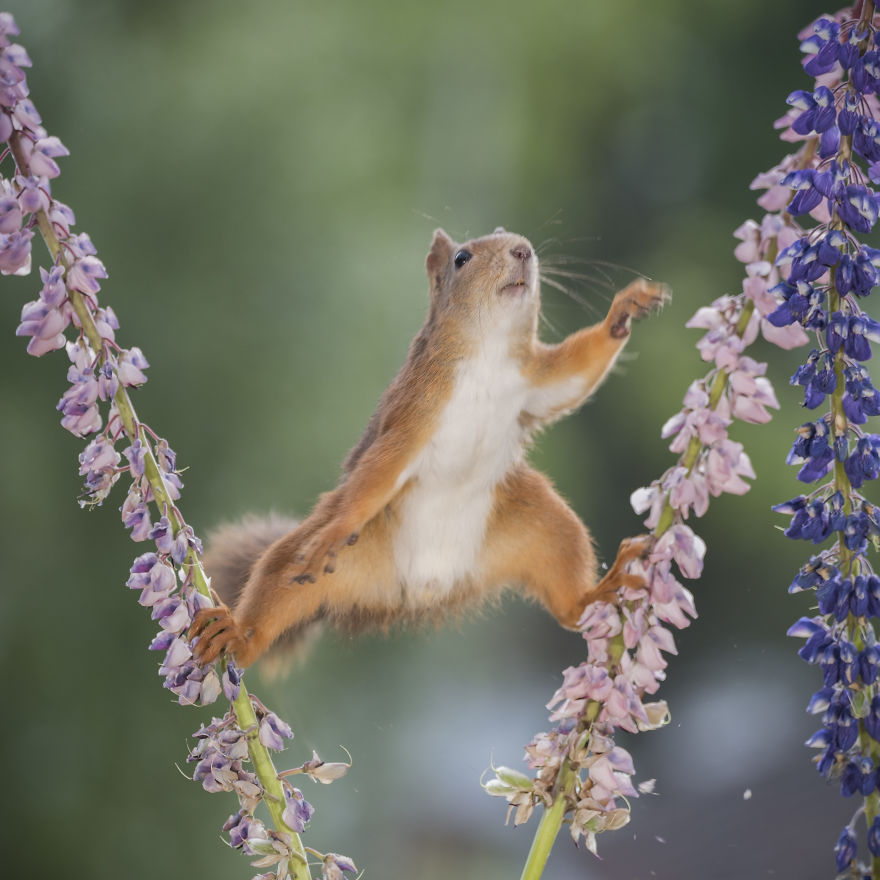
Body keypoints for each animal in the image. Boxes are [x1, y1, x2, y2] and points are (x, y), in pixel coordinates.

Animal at [191, 227, 669, 669]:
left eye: (514, 239)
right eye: (462, 258)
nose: (523, 251)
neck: (487, 356)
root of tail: (419, 591)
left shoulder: (535, 381)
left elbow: (574, 374)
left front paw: (623, 313)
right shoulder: (414, 411)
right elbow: (382, 468)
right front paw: (338, 526)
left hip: (543, 527)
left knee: (568, 604)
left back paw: (599, 591)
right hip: (323, 560)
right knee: (276, 586)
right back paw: (236, 635)